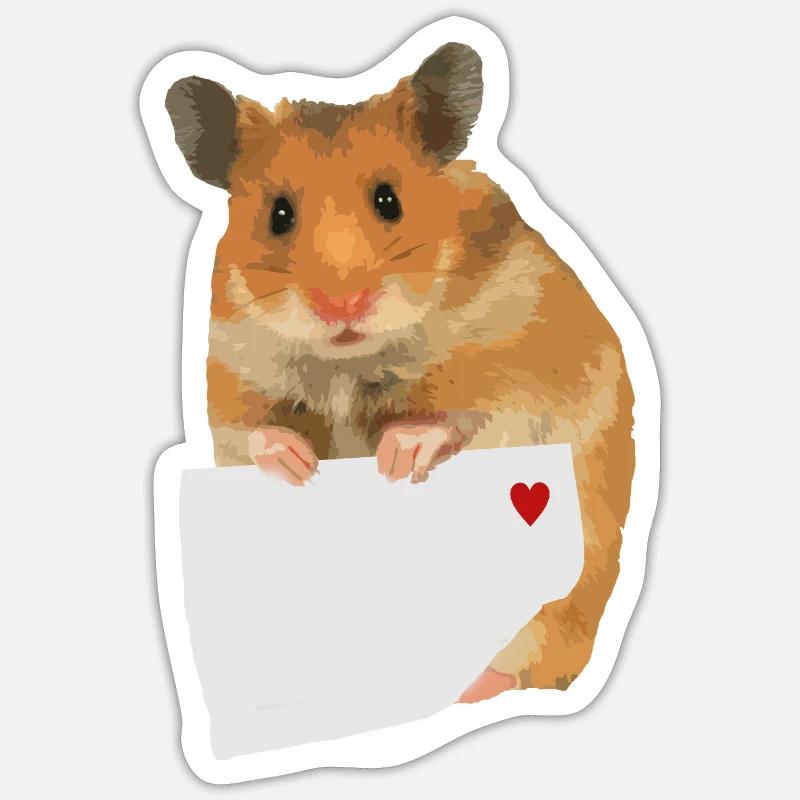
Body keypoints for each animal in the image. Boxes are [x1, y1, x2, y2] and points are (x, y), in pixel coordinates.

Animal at [165, 43, 634, 699]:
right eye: (278, 214)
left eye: (390, 200)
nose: (341, 306)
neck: (350, 361)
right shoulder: (229, 375)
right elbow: (255, 432)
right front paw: (300, 466)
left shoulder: (525, 370)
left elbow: (463, 418)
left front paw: (394, 456)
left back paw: (474, 686)